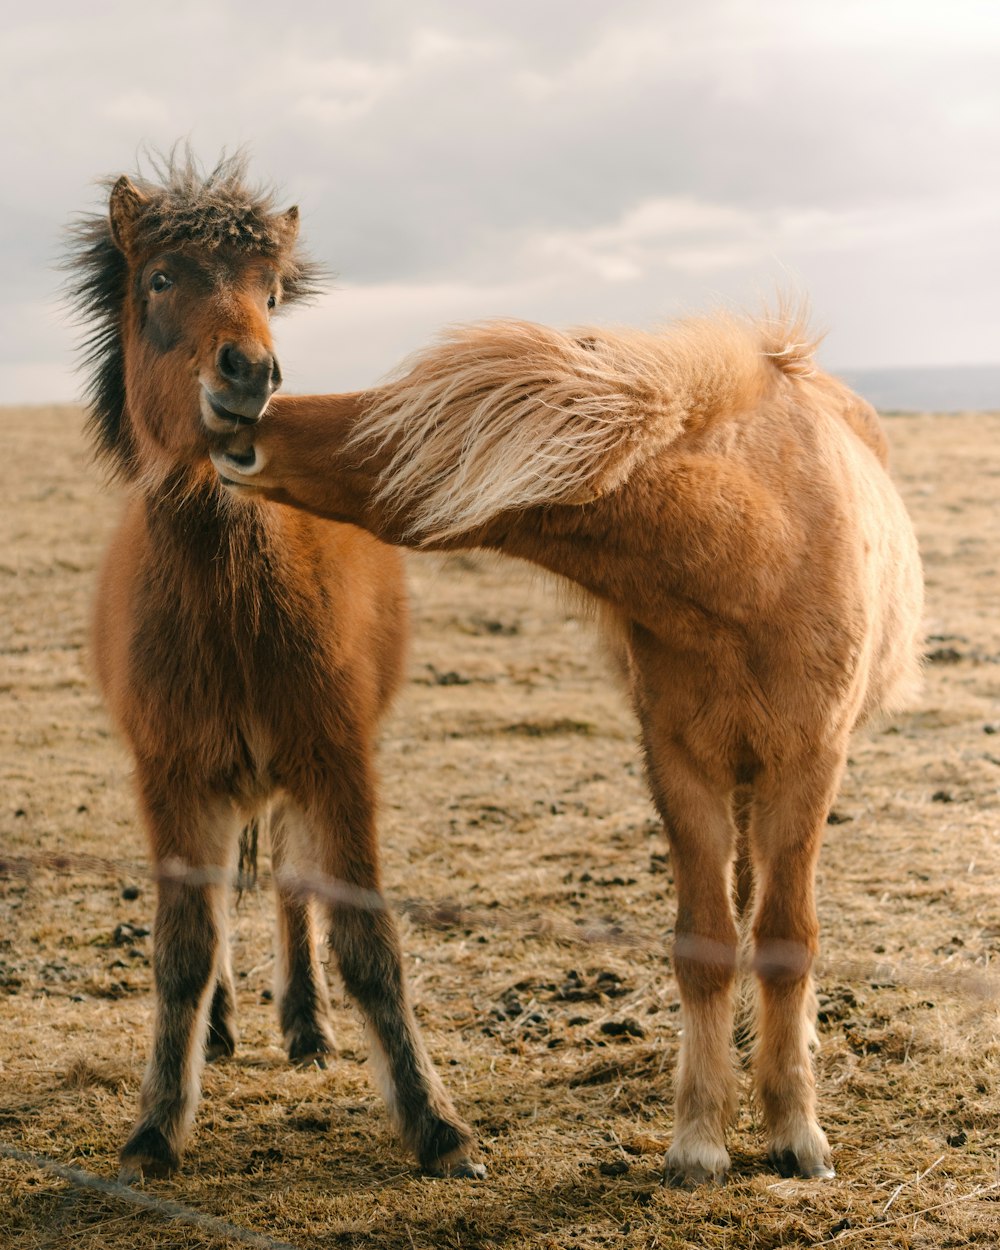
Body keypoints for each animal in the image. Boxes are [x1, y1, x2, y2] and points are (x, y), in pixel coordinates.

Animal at [65, 156, 480, 1180]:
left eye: (270, 293)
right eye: (160, 279)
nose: (250, 371)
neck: (235, 611)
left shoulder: (337, 763)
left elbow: (368, 940)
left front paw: (435, 1123)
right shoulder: (171, 777)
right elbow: (181, 949)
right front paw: (155, 1128)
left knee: (295, 889)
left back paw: (305, 1026)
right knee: (215, 907)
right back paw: (220, 1030)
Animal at [211, 310, 920, 1180]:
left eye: (394, 428)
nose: (239, 429)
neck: (760, 557)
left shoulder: (808, 765)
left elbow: (787, 940)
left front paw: (793, 1131)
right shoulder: (679, 766)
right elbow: (707, 943)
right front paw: (700, 1138)